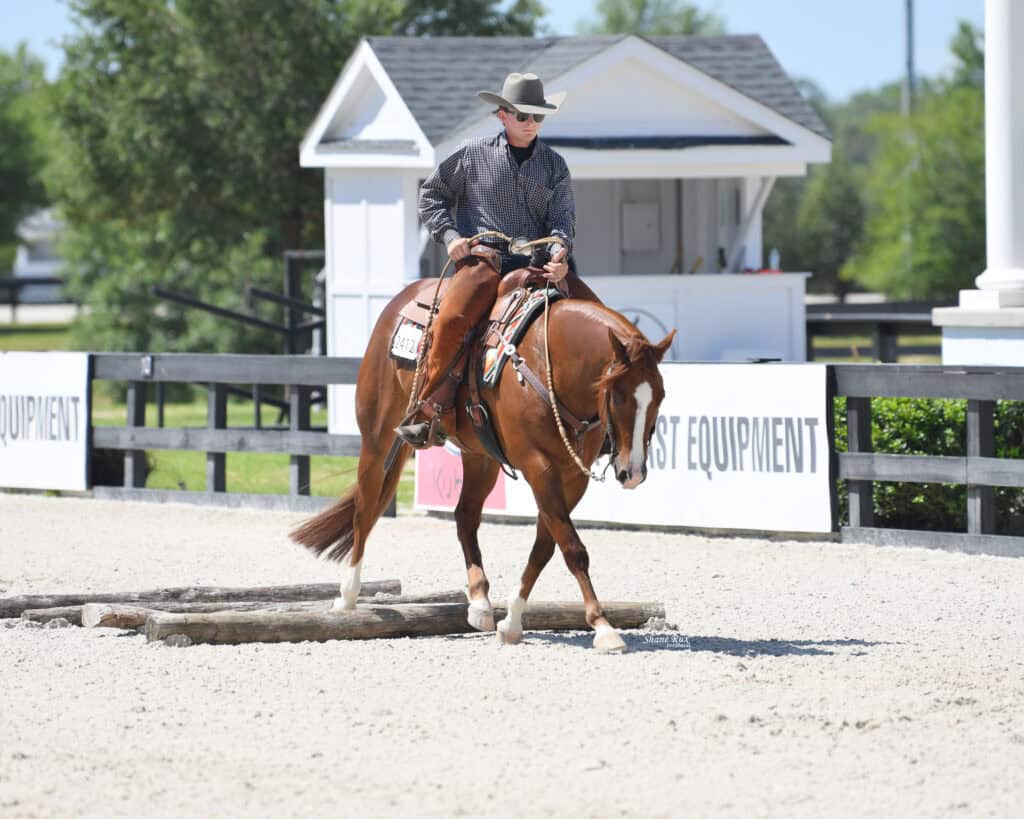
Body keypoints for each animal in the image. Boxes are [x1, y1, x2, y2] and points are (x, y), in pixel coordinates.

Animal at [290, 253, 674, 653]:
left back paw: (480, 602)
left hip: (481, 457)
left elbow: (545, 547)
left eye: (660, 395)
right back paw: (348, 596)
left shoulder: (570, 475)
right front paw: (603, 626)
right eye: (617, 395)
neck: (547, 361)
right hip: (377, 438)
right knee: (365, 511)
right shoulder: (539, 466)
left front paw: (512, 622)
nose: (633, 472)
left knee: (465, 516)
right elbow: (571, 547)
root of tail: (400, 302)